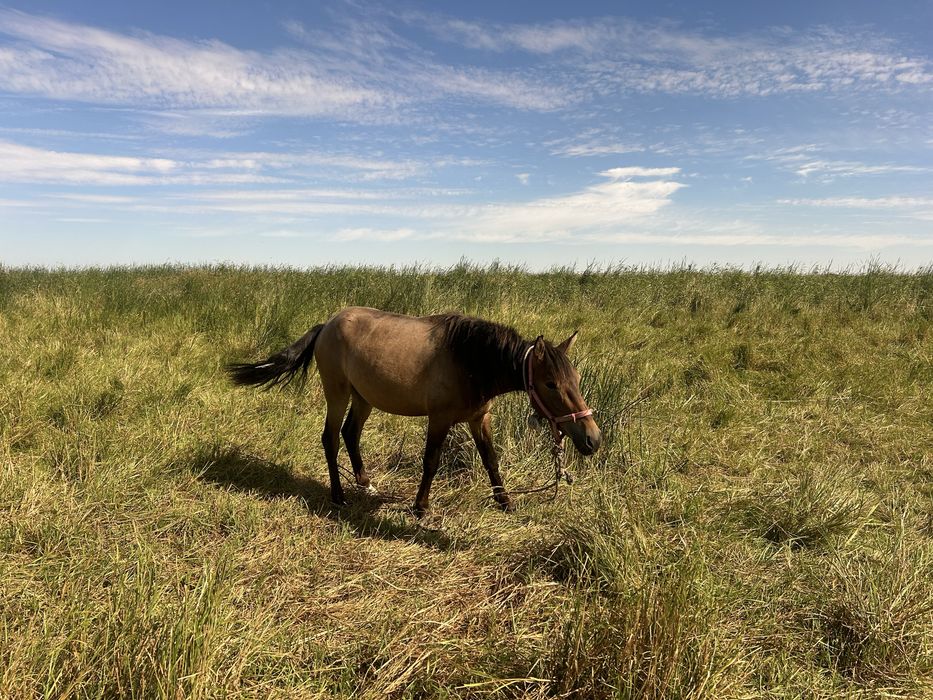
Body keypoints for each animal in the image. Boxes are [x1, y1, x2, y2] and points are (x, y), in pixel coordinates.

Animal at [226, 307, 602, 516]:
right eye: (551, 384)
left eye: (576, 379)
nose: (593, 439)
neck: (471, 362)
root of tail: (326, 325)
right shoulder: (439, 419)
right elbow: (431, 462)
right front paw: (420, 507)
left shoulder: (479, 418)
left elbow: (491, 460)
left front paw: (505, 502)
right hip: (338, 393)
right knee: (331, 438)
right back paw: (338, 496)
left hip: (364, 398)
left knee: (350, 433)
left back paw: (366, 484)